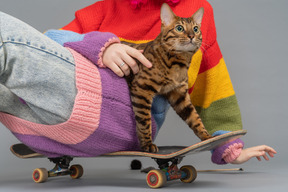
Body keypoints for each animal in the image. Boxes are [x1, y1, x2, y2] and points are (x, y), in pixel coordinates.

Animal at [123, 3, 212, 152]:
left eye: (195, 29)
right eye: (179, 28)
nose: (191, 36)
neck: (178, 64)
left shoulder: (179, 94)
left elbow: (194, 117)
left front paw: (207, 137)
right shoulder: (142, 89)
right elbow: (144, 120)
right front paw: (147, 143)